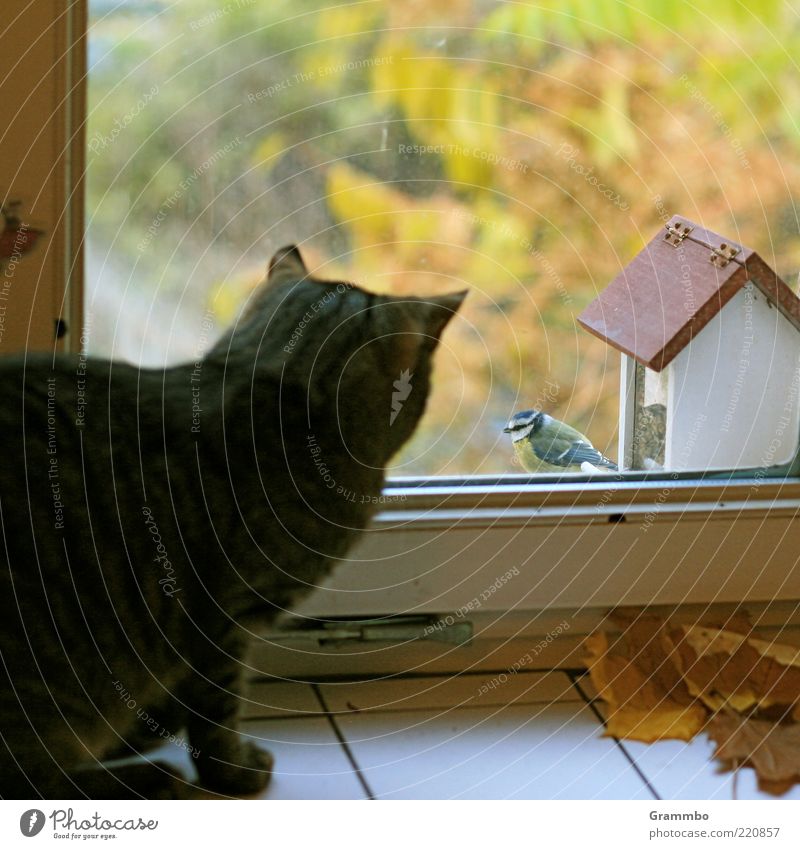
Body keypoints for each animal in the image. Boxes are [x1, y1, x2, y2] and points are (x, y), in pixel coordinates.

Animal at [0, 243, 466, 796]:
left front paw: (145, 728)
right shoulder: (223, 624)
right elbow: (217, 710)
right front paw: (232, 769)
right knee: (31, 777)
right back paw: (145, 777)